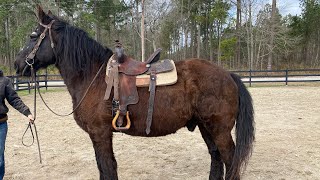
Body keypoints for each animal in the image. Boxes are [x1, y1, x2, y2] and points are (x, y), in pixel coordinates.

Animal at [14, 6, 255, 179]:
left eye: (33, 36)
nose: (17, 64)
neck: (92, 76)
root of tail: (228, 75)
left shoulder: (100, 133)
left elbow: (107, 168)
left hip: (220, 130)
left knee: (229, 161)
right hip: (206, 127)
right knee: (216, 158)